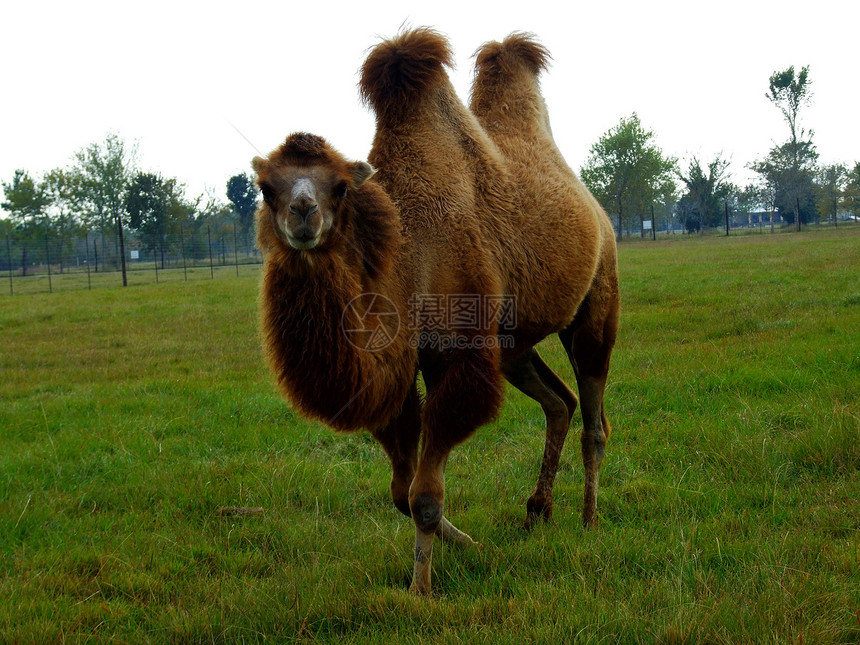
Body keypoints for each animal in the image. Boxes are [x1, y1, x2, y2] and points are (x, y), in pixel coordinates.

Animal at [252, 30, 620, 592]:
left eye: (340, 186)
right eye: (266, 187)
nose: (303, 213)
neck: (404, 261)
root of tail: (596, 209)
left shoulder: (456, 356)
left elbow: (423, 496)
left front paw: (421, 589)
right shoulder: (398, 371)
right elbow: (401, 495)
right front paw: (473, 545)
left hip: (597, 304)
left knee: (594, 415)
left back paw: (589, 520)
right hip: (512, 345)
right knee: (560, 401)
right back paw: (537, 511)